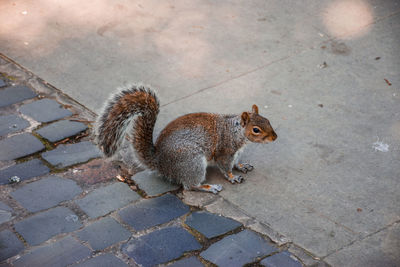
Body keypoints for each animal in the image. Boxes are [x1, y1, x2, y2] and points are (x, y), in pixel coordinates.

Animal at [96, 85, 278, 194]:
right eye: (256, 130)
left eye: (268, 120)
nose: (275, 137)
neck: (235, 131)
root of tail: (160, 162)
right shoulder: (224, 151)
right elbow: (225, 166)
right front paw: (233, 177)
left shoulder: (237, 152)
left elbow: (236, 162)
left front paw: (241, 166)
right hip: (192, 162)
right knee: (190, 186)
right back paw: (209, 187)